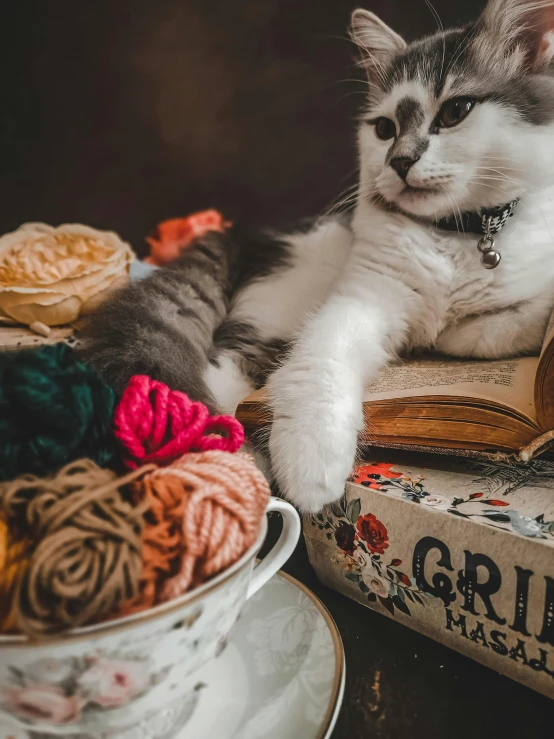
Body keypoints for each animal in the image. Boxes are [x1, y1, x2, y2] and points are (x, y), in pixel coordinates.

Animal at [78, 0, 554, 512]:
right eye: (384, 129)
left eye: (455, 112)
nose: (399, 162)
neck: (458, 234)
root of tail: (247, 234)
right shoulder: (359, 300)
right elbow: (320, 365)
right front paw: (311, 461)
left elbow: (506, 323)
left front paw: (453, 333)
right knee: (224, 363)